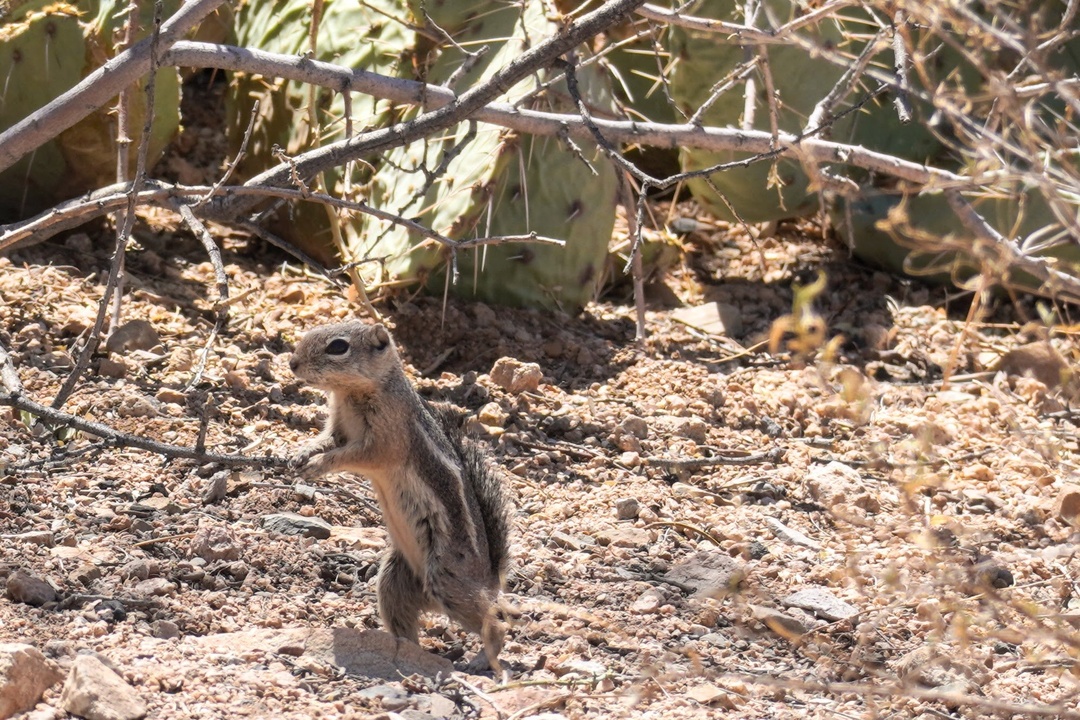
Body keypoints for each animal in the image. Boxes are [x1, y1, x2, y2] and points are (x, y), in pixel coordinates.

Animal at [288, 320, 511, 673]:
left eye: (338, 347)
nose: (293, 363)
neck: (350, 393)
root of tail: (491, 576)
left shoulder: (384, 439)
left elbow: (354, 455)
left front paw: (318, 465)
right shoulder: (338, 429)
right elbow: (325, 440)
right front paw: (300, 454)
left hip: (448, 579)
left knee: (495, 620)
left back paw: (478, 661)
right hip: (394, 579)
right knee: (405, 621)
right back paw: (403, 652)